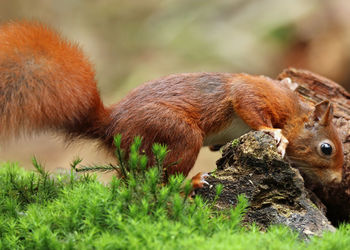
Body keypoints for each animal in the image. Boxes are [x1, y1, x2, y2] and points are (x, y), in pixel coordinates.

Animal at [0, 21, 344, 185]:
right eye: (326, 148)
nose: (338, 180)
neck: (295, 113)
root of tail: (111, 125)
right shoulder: (254, 95)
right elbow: (248, 104)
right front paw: (275, 134)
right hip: (175, 133)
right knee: (160, 183)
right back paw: (191, 185)